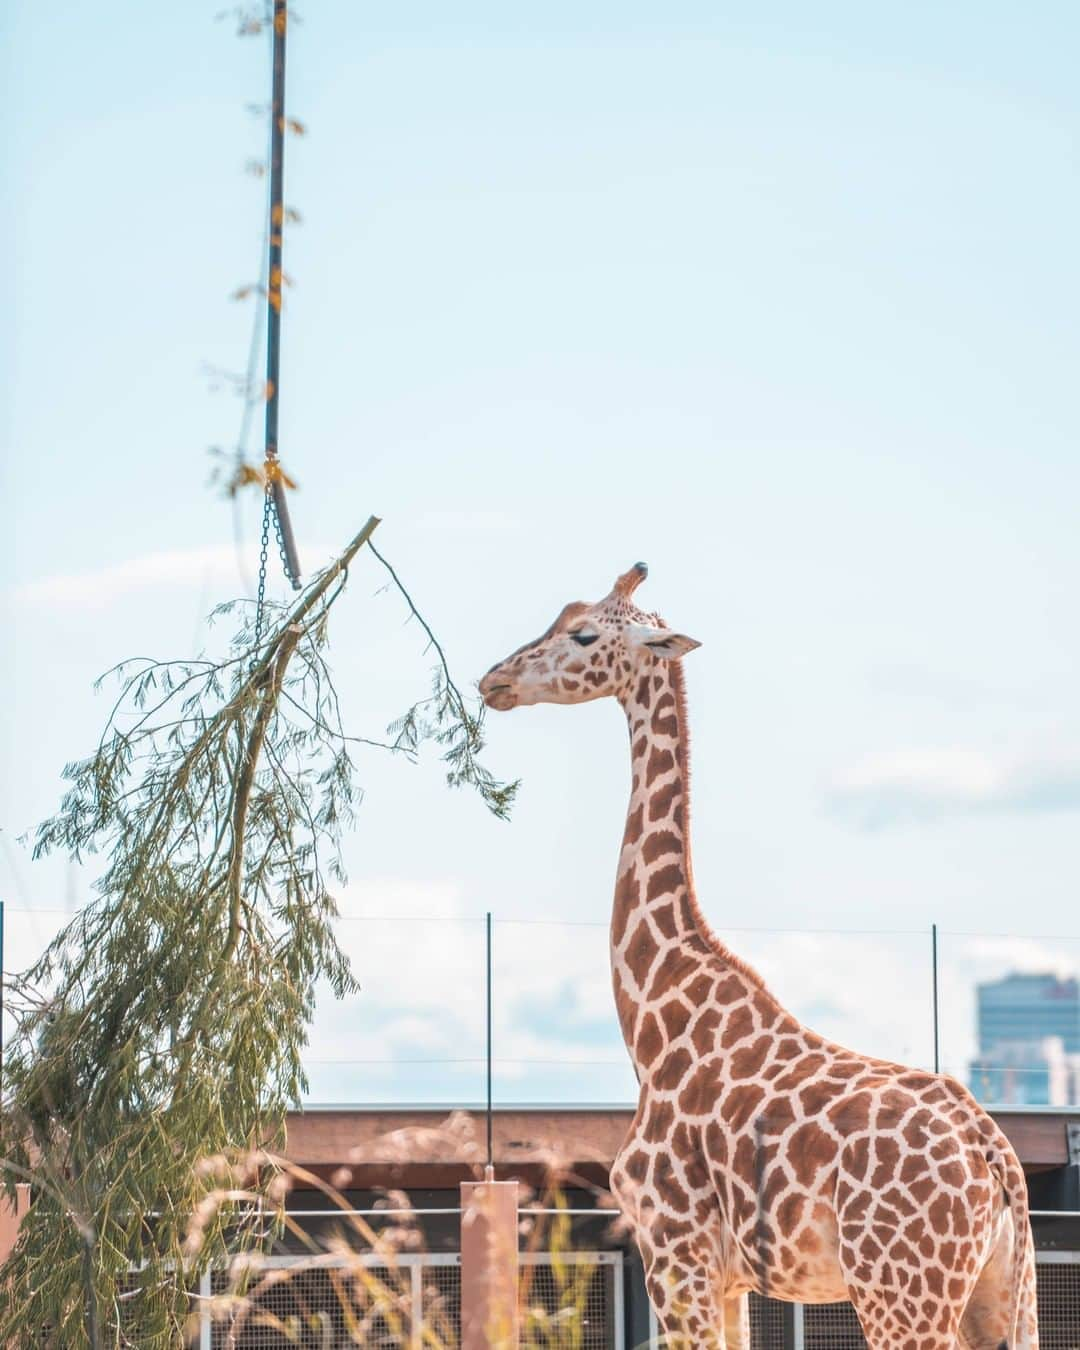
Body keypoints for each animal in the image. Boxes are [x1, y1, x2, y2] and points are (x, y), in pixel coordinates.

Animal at [480, 564, 1036, 1350]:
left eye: (583, 634)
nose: (492, 681)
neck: (653, 1023)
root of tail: (994, 1155)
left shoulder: (673, 1250)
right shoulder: (729, 1277)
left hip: (900, 1293)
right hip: (996, 1291)